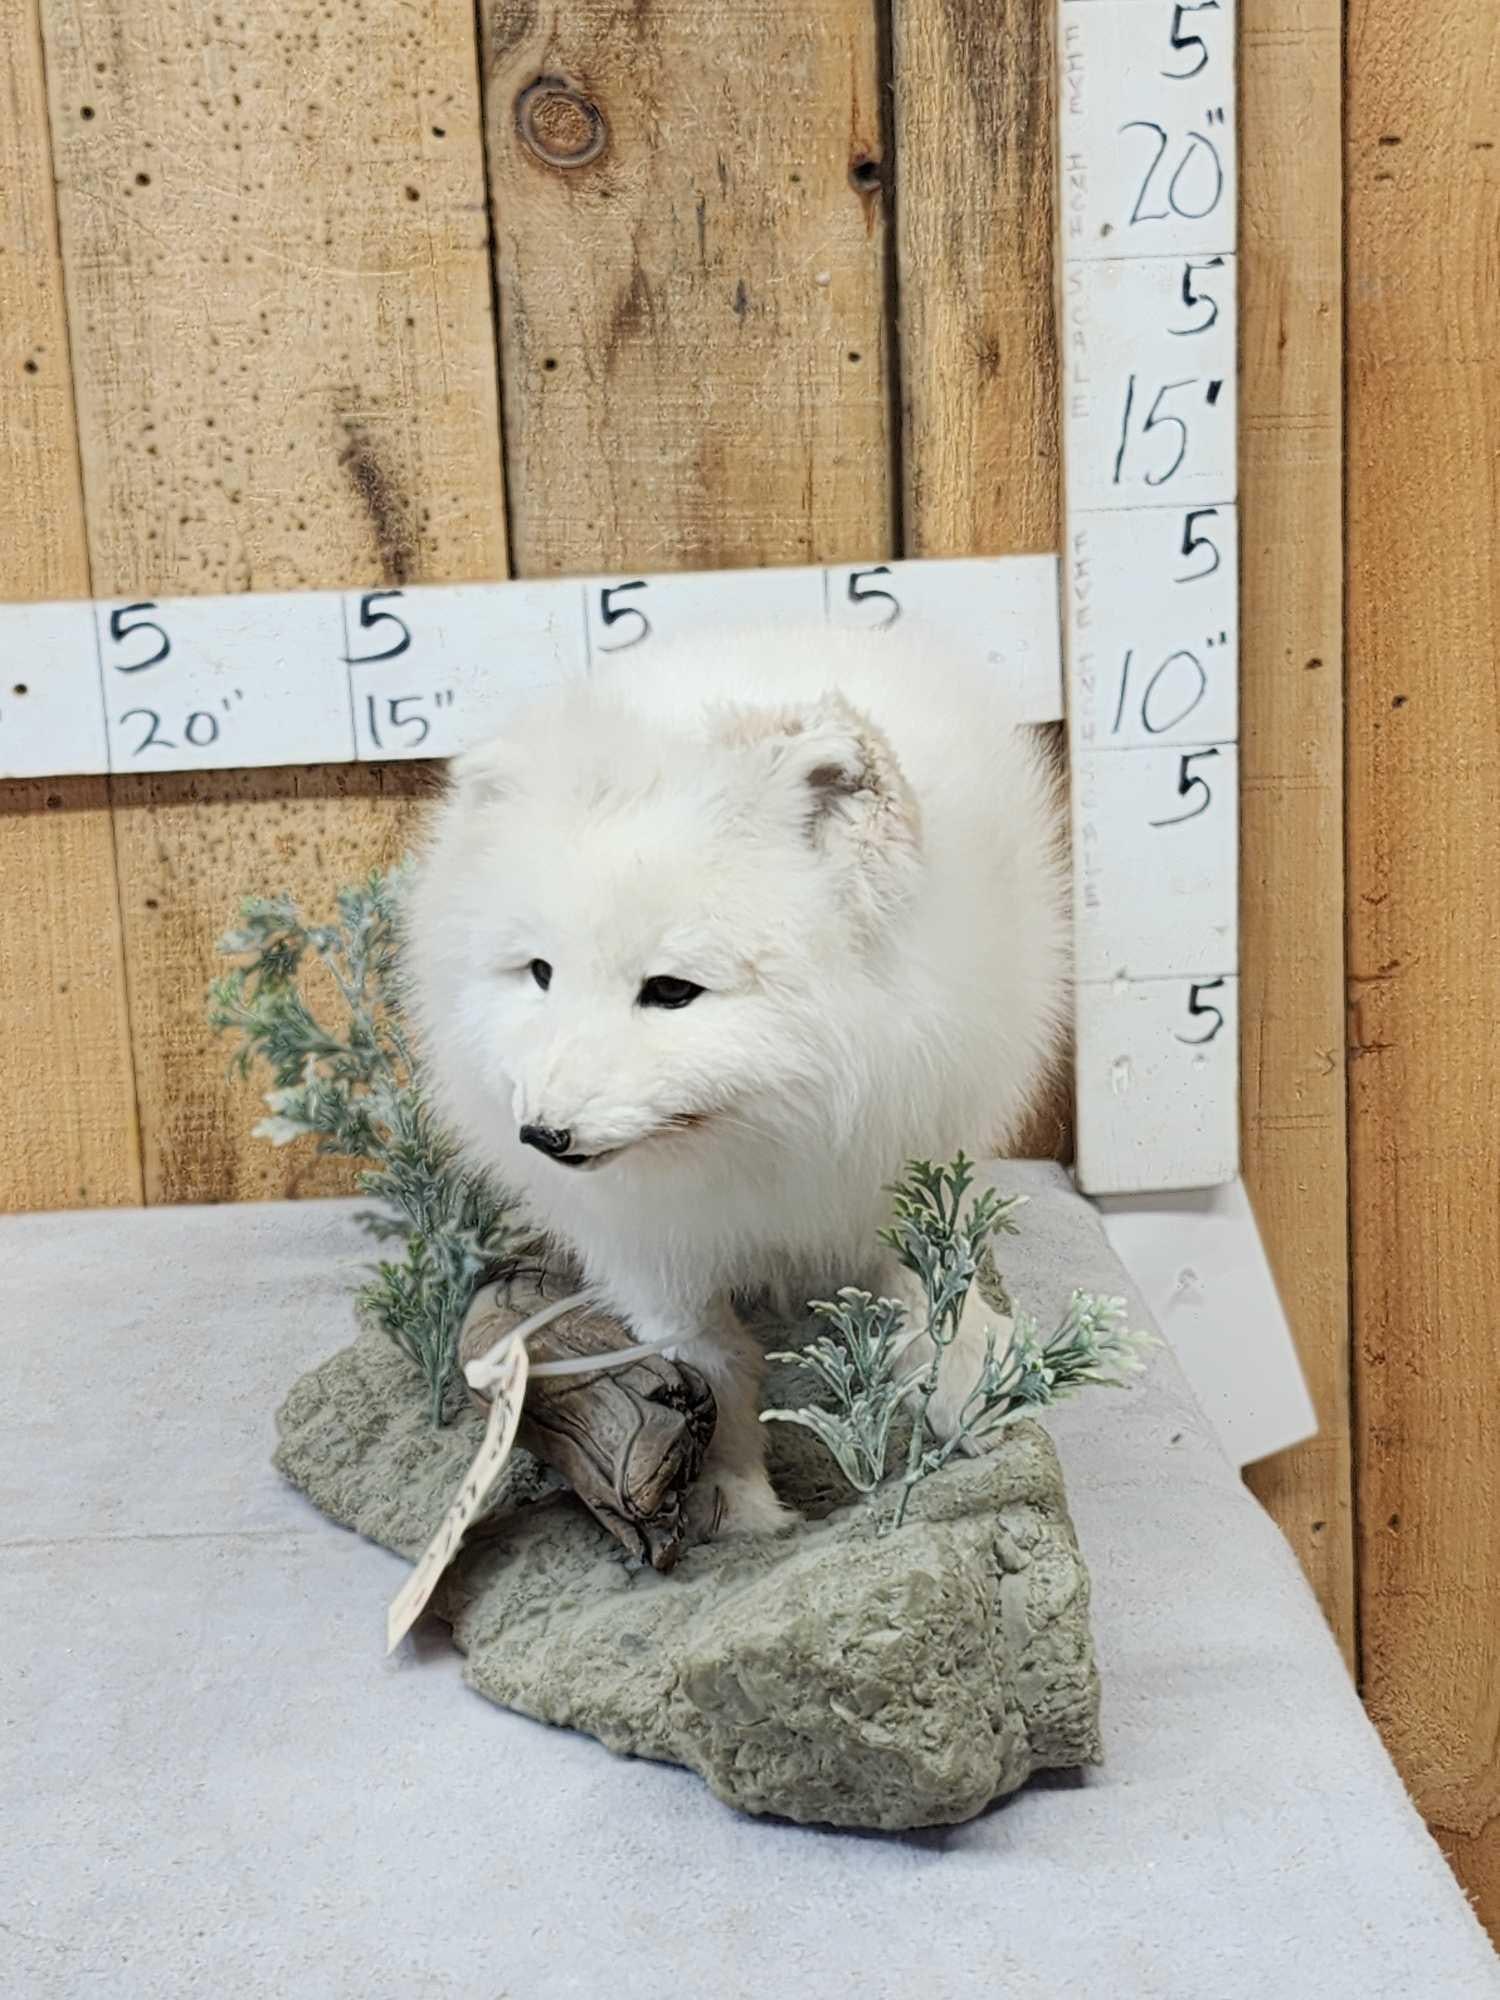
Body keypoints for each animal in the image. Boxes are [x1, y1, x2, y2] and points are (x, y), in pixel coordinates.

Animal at [404, 623, 1068, 1538]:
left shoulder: (895, 1153)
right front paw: (729, 1499)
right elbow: (707, 1363)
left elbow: (924, 1282)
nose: (542, 1134)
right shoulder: (649, 1249)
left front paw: (967, 1377)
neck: (756, 1138)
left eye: (671, 990)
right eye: (540, 974)